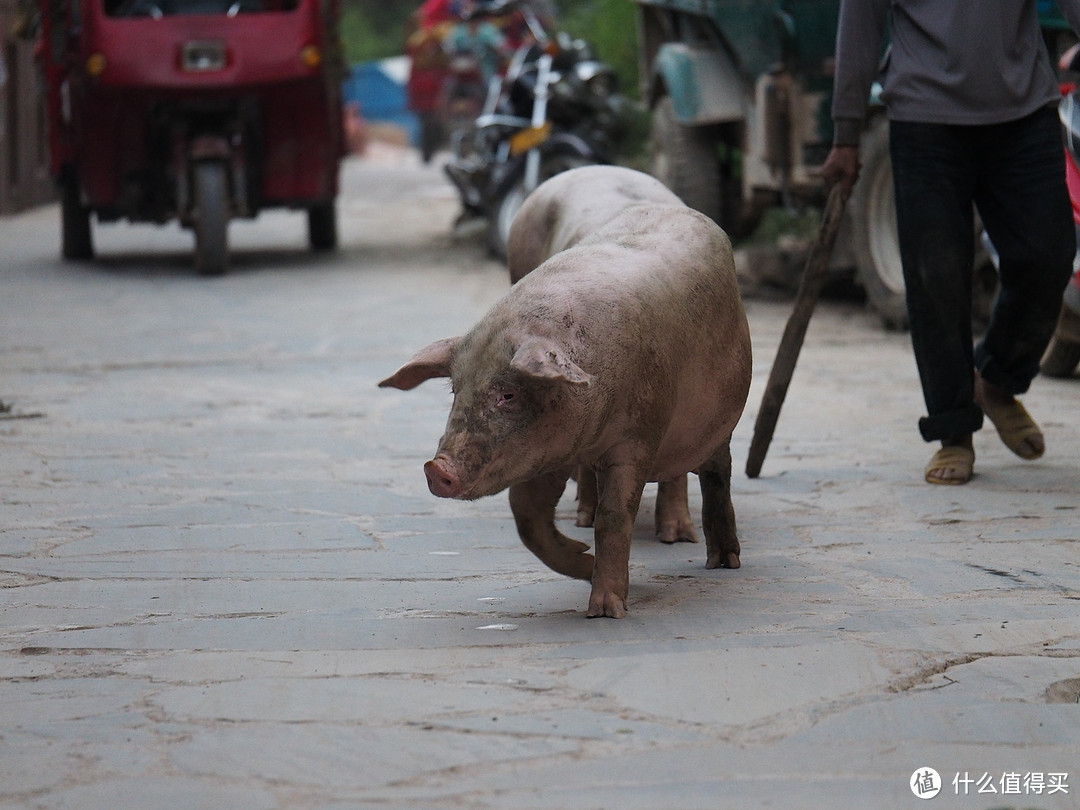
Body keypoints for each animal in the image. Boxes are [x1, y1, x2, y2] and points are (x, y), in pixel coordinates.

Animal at [380, 166, 751, 622]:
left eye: (507, 395)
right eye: (455, 388)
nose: (436, 468)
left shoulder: (639, 434)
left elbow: (616, 515)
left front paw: (606, 612)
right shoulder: (549, 448)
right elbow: (527, 518)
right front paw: (583, 559)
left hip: (717, 416)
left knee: (716, 473)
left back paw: (715, 558)